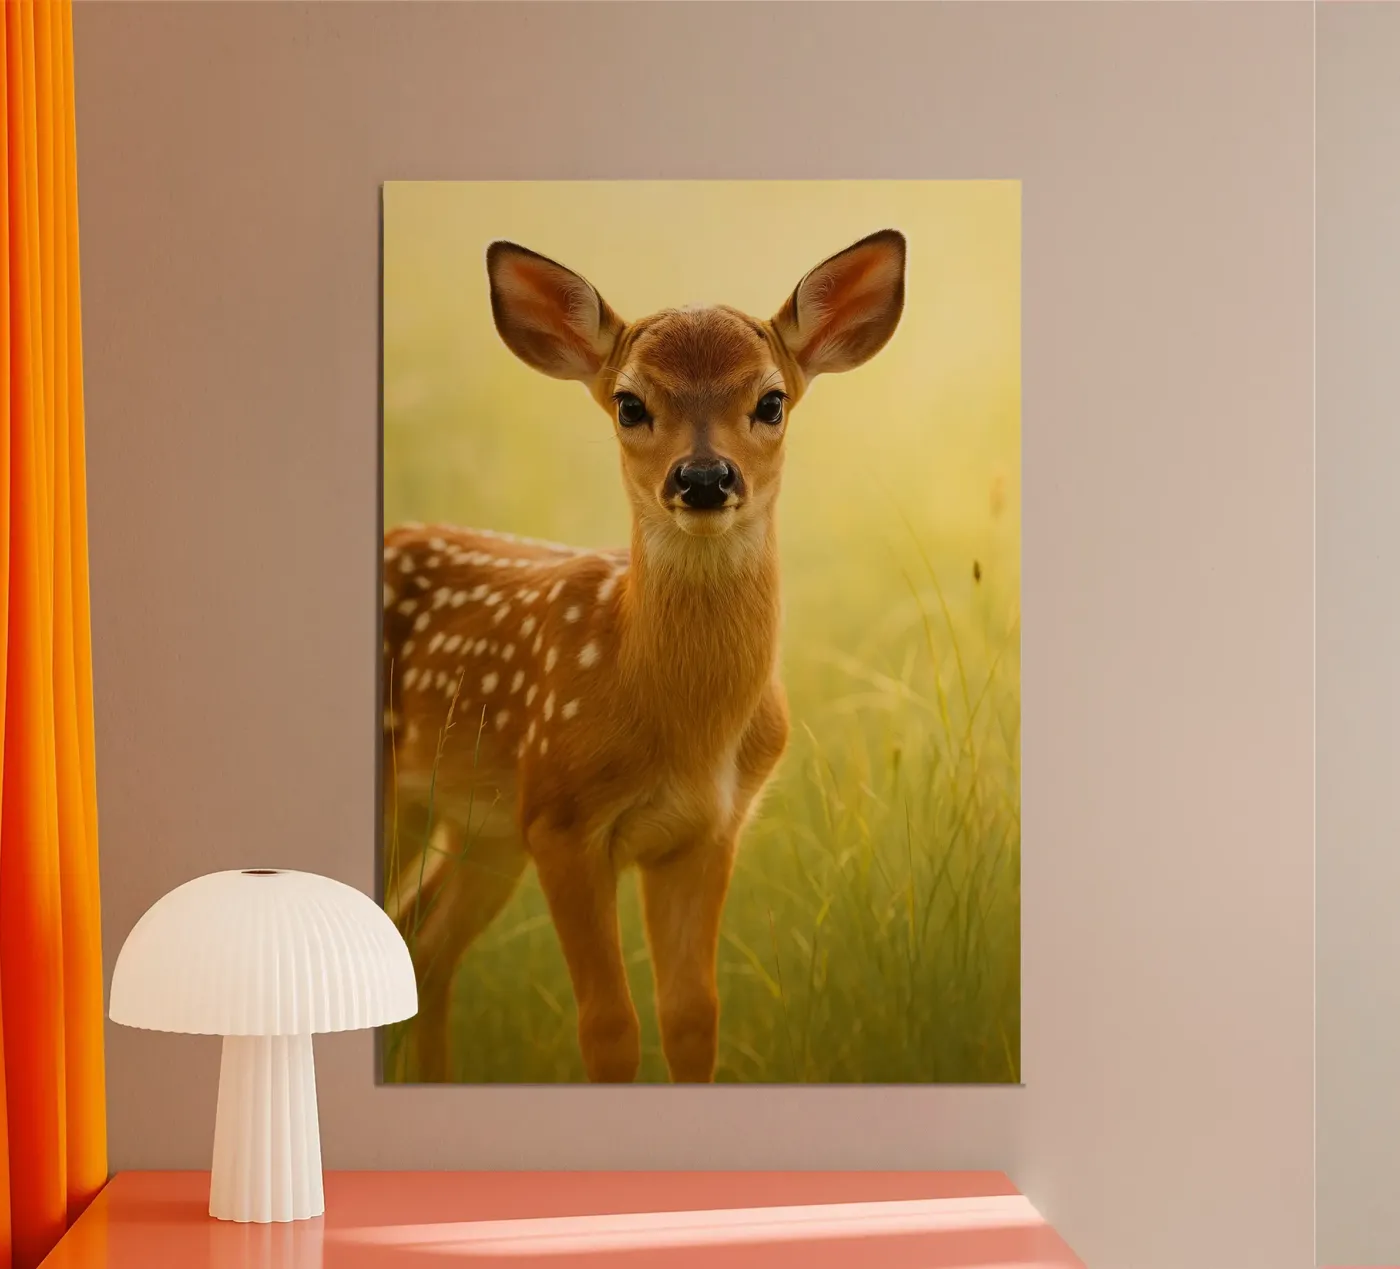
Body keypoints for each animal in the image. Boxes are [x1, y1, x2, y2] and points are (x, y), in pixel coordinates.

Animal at [381, 228, 906, 1083]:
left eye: (771, 401)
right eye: (631, 404)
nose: (704, 477)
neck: (680, 725)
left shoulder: (707, 831)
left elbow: (691, 1016)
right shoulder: (561, 820)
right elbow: (609, 1025)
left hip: (481, 826)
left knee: (420, 942)